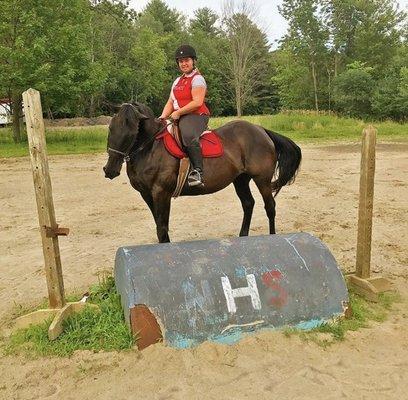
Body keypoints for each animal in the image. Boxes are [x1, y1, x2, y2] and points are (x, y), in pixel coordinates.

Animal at [103, 101, 302, 242]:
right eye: (111, 128)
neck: (150, 147)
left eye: (132, 131)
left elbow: (162, 228)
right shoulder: (147, 194)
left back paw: (273, 237)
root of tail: (261, 130)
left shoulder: (161, 193)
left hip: (262, 179)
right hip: (240, 179)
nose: (109, 170)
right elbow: (160, 226)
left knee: (270, 207)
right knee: (248, 204)